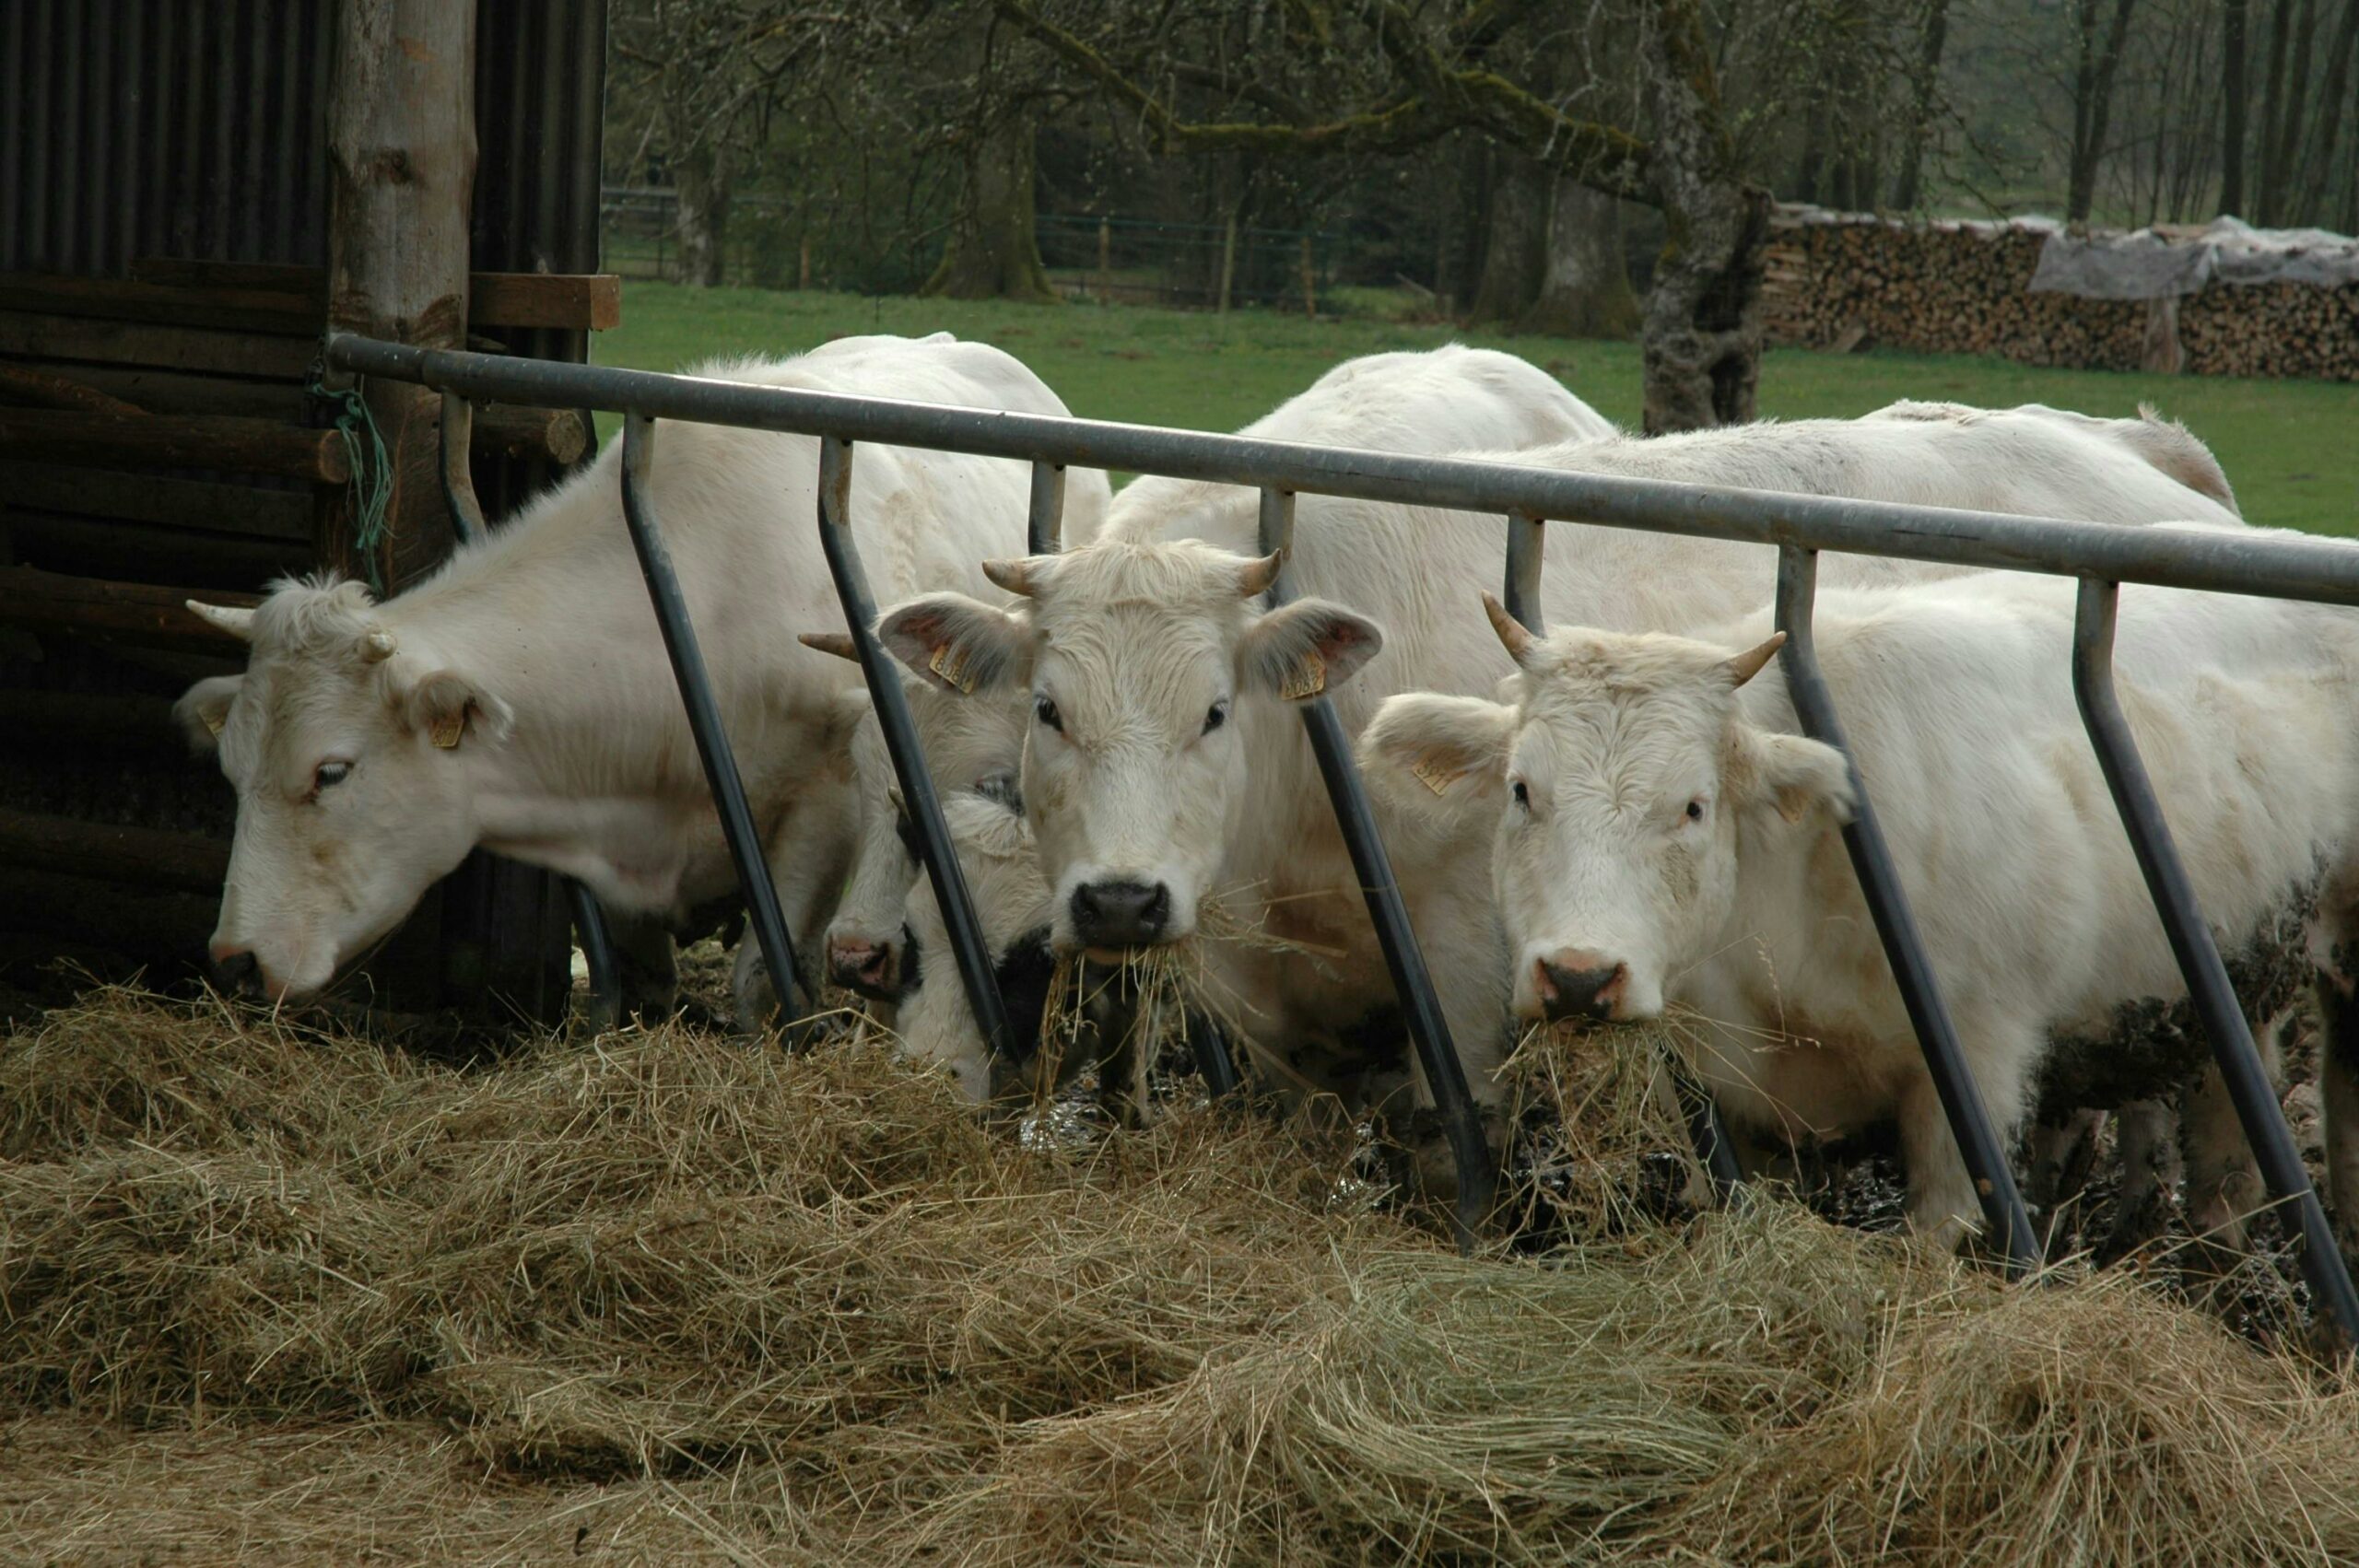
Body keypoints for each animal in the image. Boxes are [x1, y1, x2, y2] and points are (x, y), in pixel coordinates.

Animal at [177, 336, 1094, 1009]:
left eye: (330, 771)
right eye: (231, 771)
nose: (234, 960)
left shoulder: (824, 810)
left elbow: (761, 982)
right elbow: (648, 984)